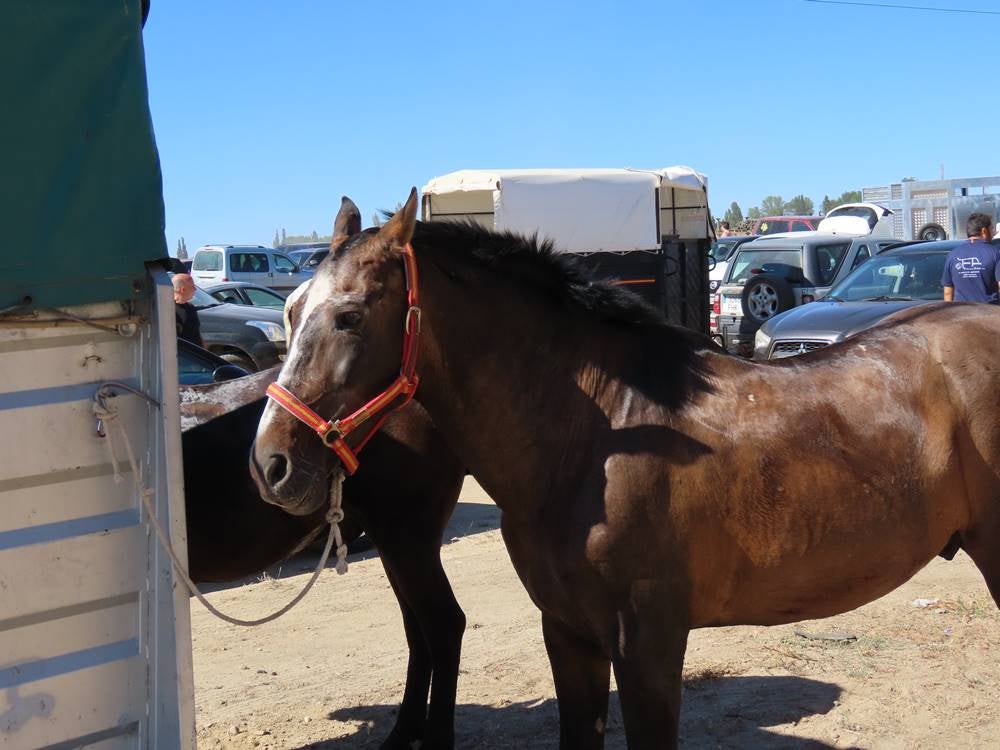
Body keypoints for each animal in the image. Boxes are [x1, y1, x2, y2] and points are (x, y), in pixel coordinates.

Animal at [254, 188, 1000, 750]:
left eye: (350, 316)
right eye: (290, 309)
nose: (272, 465)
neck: (593, 439)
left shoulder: (647, 647)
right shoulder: (569, 636)